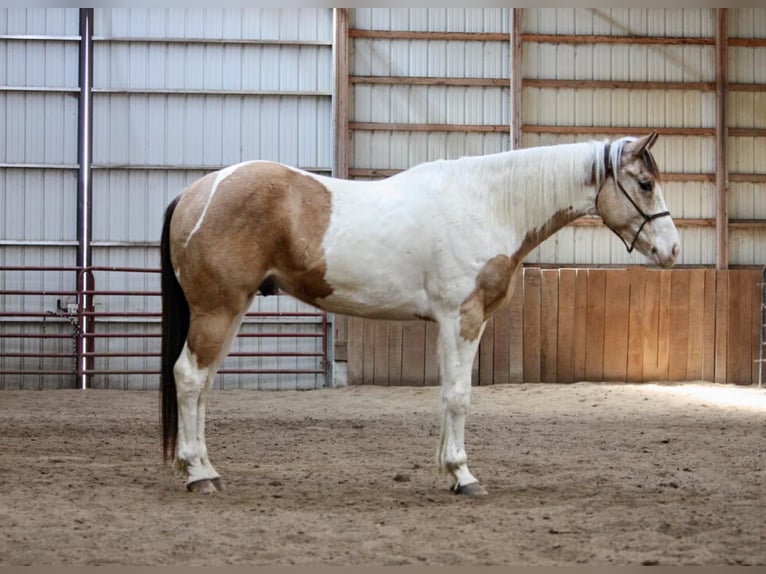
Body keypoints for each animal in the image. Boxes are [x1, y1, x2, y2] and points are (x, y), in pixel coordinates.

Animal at [159, 133, 680, 498]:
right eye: (645, 184)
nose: (673, 251)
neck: (487, 205)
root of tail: (196, 192)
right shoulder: (461, 318)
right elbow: (459, 396)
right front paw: (464, 476)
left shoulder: (457, 323)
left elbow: (447, 394)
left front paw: (448, 471)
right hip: (217, 309)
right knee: (189, 377)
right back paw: (197, 474)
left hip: (231, 310)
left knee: (203, 385)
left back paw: (206, 469)